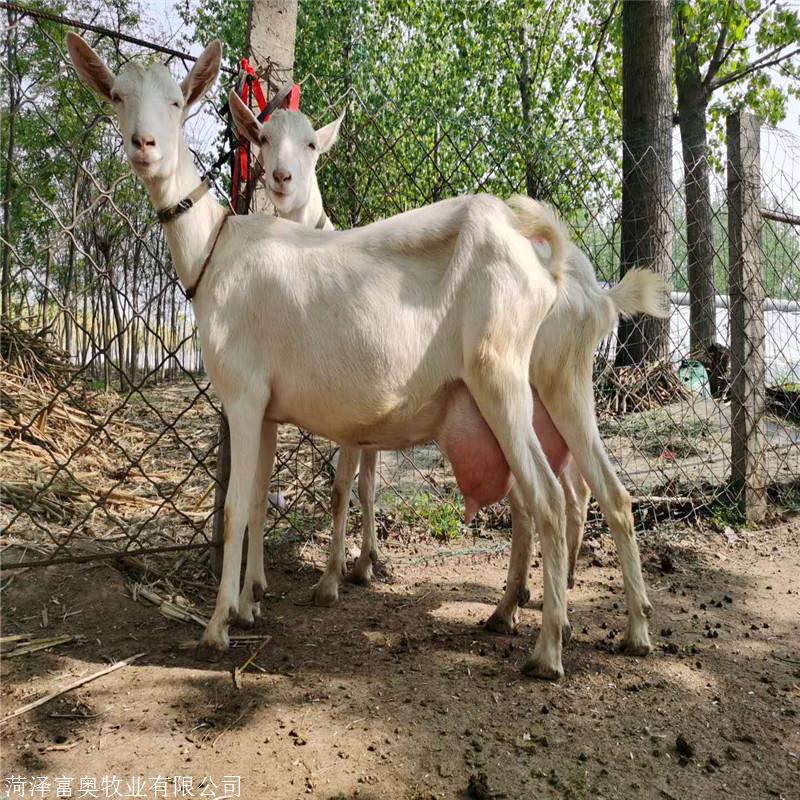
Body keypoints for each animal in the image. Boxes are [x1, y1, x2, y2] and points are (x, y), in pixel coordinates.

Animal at [65, 34, 572, 680]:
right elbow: (258, 499)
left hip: (498, 375)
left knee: (550, 501)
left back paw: (547, 650)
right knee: (536, 500)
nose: (144, 145)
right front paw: (249, 604)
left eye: (178, 101)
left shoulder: (242, 393)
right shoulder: (267, 407)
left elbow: (233, 506)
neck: (216, 251)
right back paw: (515, 614)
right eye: (117, 96)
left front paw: (216, 628)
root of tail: (538, 262)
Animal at [241, 108, 664, 656]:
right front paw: (366, 564)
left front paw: (331, 581)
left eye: (312, 143)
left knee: (548, 498)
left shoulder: (352, 416)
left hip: (516, 388)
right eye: (262, 137)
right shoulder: (369, 420)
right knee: (598, 493)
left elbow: (341, 487)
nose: (281, 178)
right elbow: (368, 486)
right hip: (563, 388)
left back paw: (540, 611)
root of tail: (596, 294)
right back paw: (614, 622)